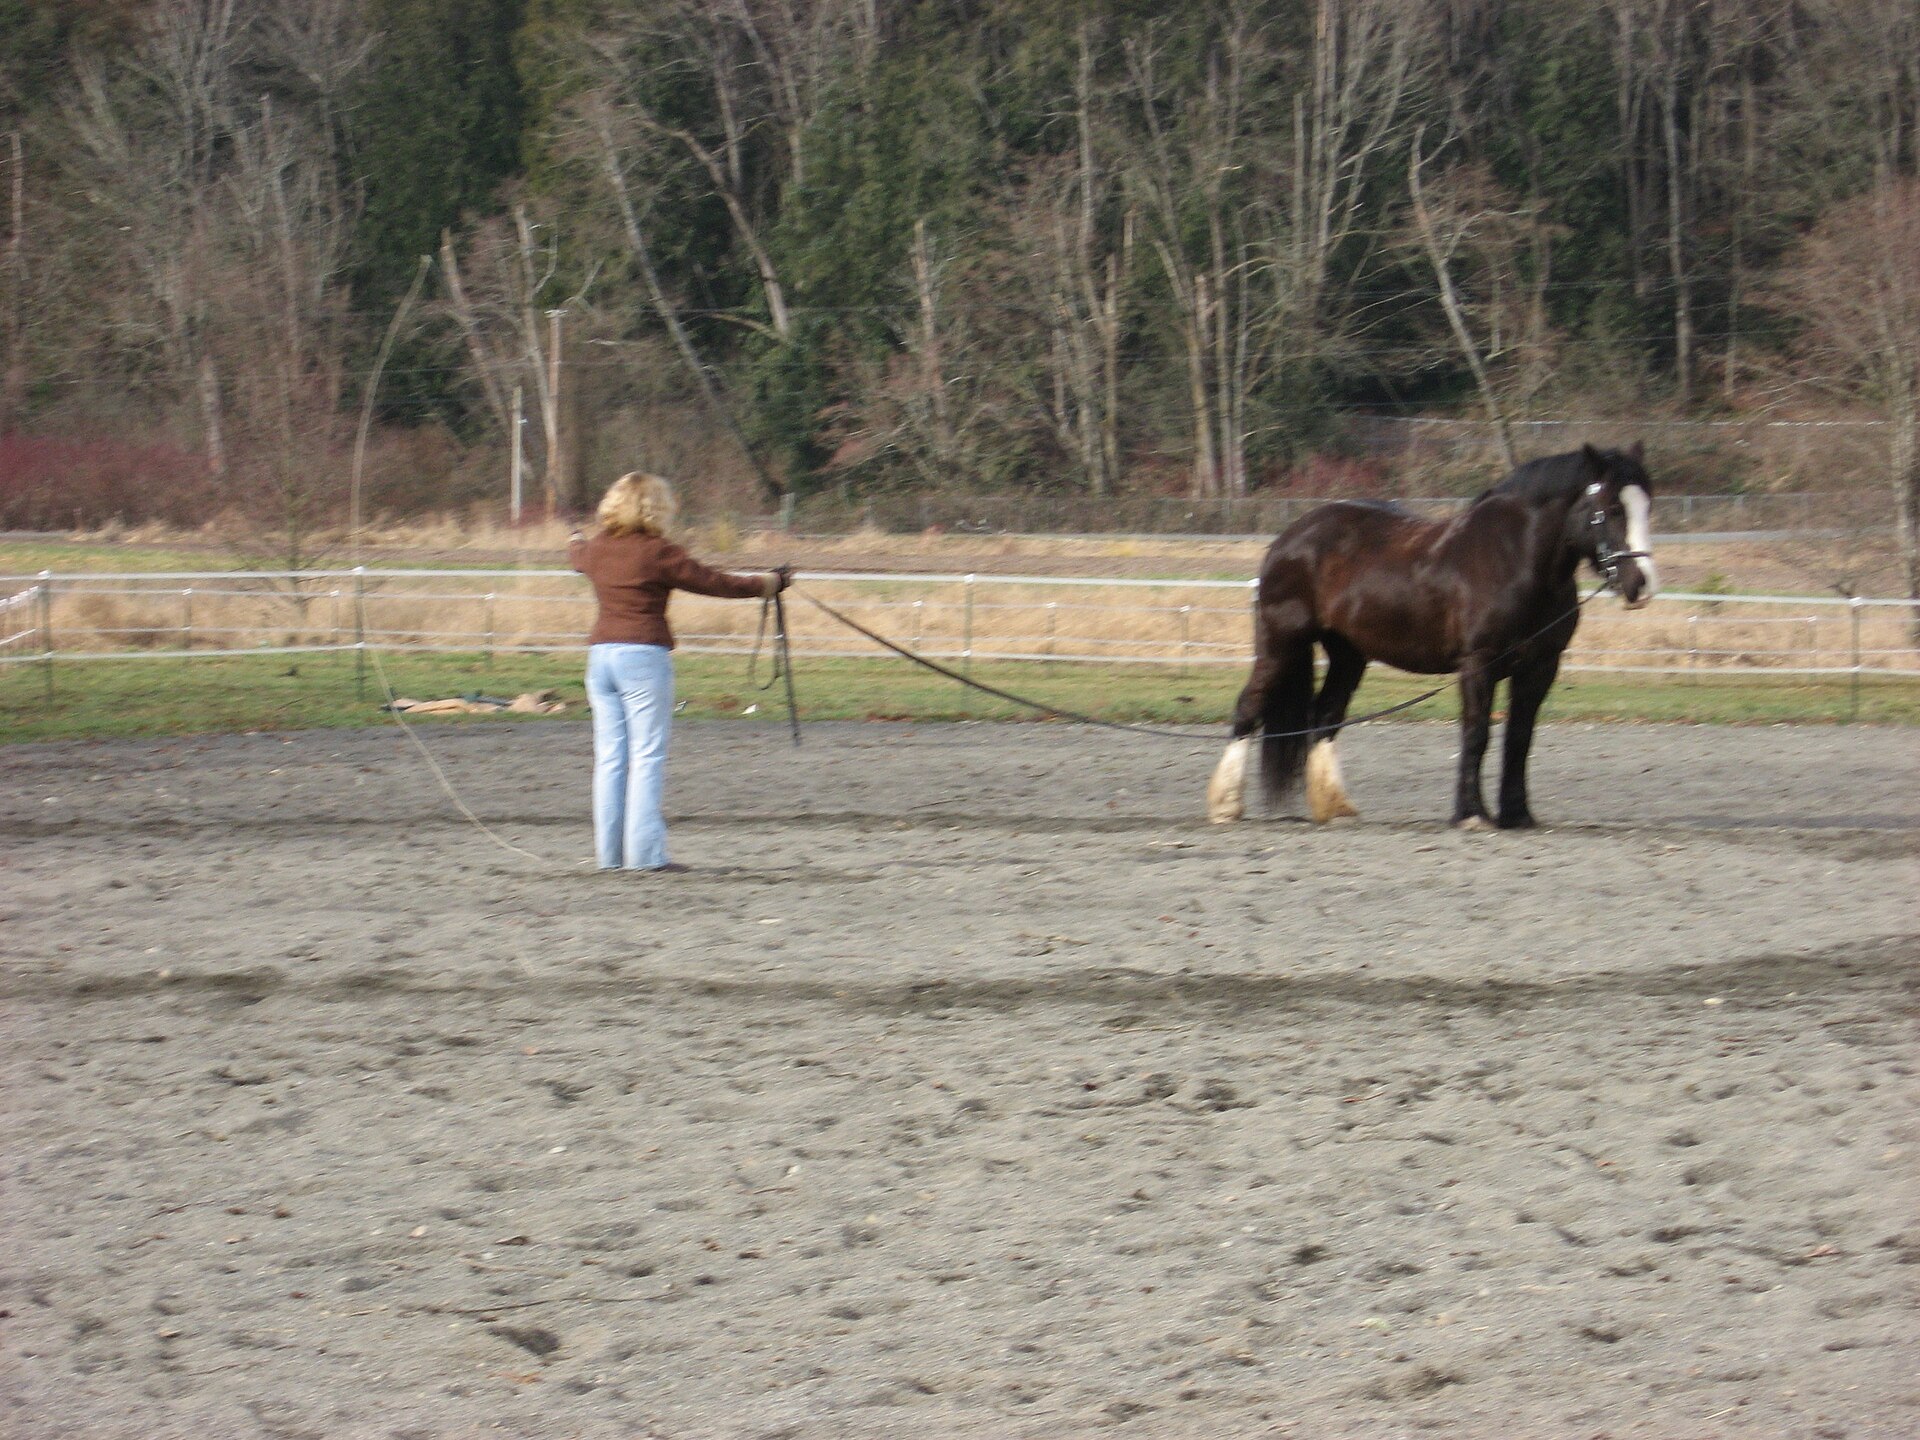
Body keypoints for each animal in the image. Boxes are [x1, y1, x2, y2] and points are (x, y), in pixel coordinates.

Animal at [1205, 444, 1658, 830]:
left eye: (1647, 505)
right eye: (1611, 508)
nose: (1641, 585)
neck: (1513, 558)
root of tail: (1289, 539)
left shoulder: (1540, 667)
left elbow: (1519, 739)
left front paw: (1517, 814)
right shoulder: (1478, 663)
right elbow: (1476, 733)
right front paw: (1472, 814)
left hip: (1349, 654)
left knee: (1326, 716)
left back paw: (1334, 806)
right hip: (1282, 644)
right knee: (1248, 708)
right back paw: (1226, 806)